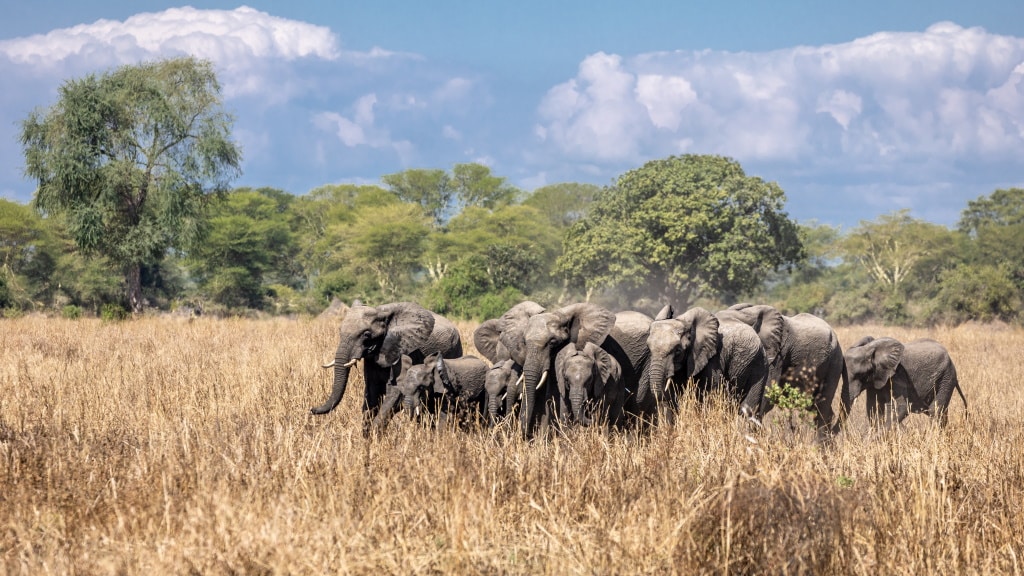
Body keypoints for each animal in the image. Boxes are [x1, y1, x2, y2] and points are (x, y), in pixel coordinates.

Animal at [307, 301, 460, 430]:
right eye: (340, 330)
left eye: (366, 335)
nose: (311, 409)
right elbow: (371, 393)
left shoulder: (406, 350)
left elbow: (395, 392)